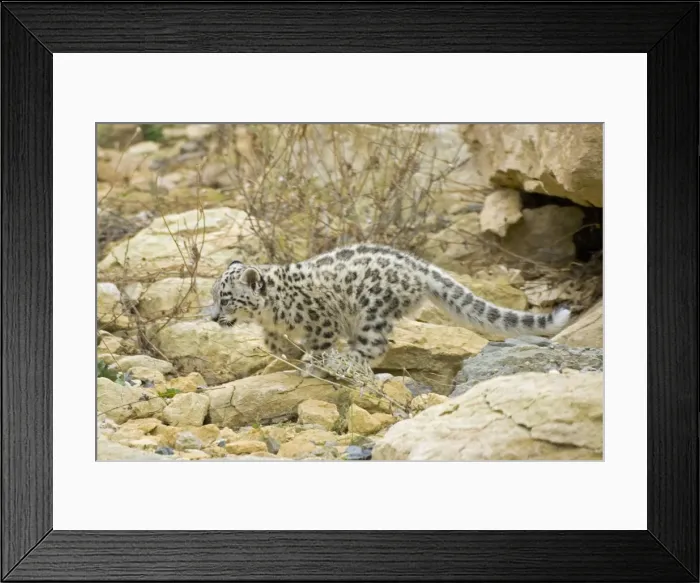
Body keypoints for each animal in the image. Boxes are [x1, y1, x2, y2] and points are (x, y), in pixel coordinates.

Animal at [209, 243, 571, 378]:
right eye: (214, 296)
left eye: (226, 298)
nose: (212, 316)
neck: (269, 314)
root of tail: (418, 265)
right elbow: (274, 341)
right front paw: (282, 350)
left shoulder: (323, 323)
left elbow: (319, 348)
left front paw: (312, 366)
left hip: (372, 313)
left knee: (374, 347)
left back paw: (349, 363)